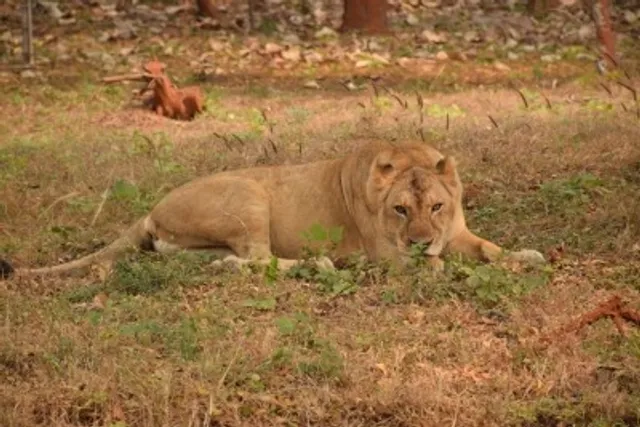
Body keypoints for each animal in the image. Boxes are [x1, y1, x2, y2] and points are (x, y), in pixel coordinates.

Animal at [0, 141, 544, 280]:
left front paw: (527, 257)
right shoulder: (390, 255)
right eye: (400, 211)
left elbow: (489, 249)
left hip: (197, 245)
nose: (421, 240)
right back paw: (320, 263)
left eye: (436, 205)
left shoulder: (457, 232)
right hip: (249, 195)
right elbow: (440, 267)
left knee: (232, 262)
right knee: (261, 260)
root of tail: (152, 208)